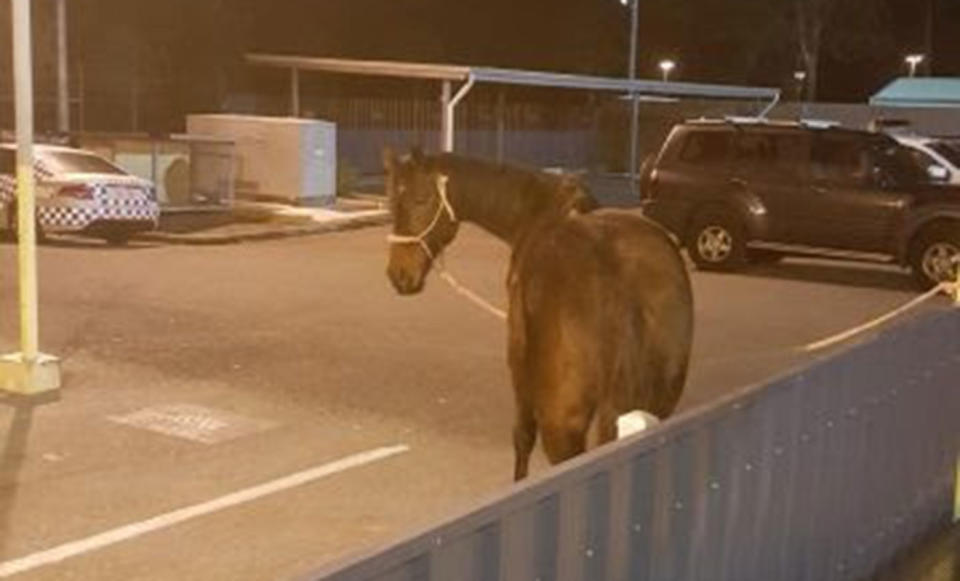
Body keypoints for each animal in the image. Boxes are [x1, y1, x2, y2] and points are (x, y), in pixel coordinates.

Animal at [382, 150, 688, 480]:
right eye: (392, 202)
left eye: (421, 199)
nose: (399, 276)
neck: (541, 212)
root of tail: (619, 279)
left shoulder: (519, 364)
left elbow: (523, 435)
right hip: (658, 403)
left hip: (562, 424)